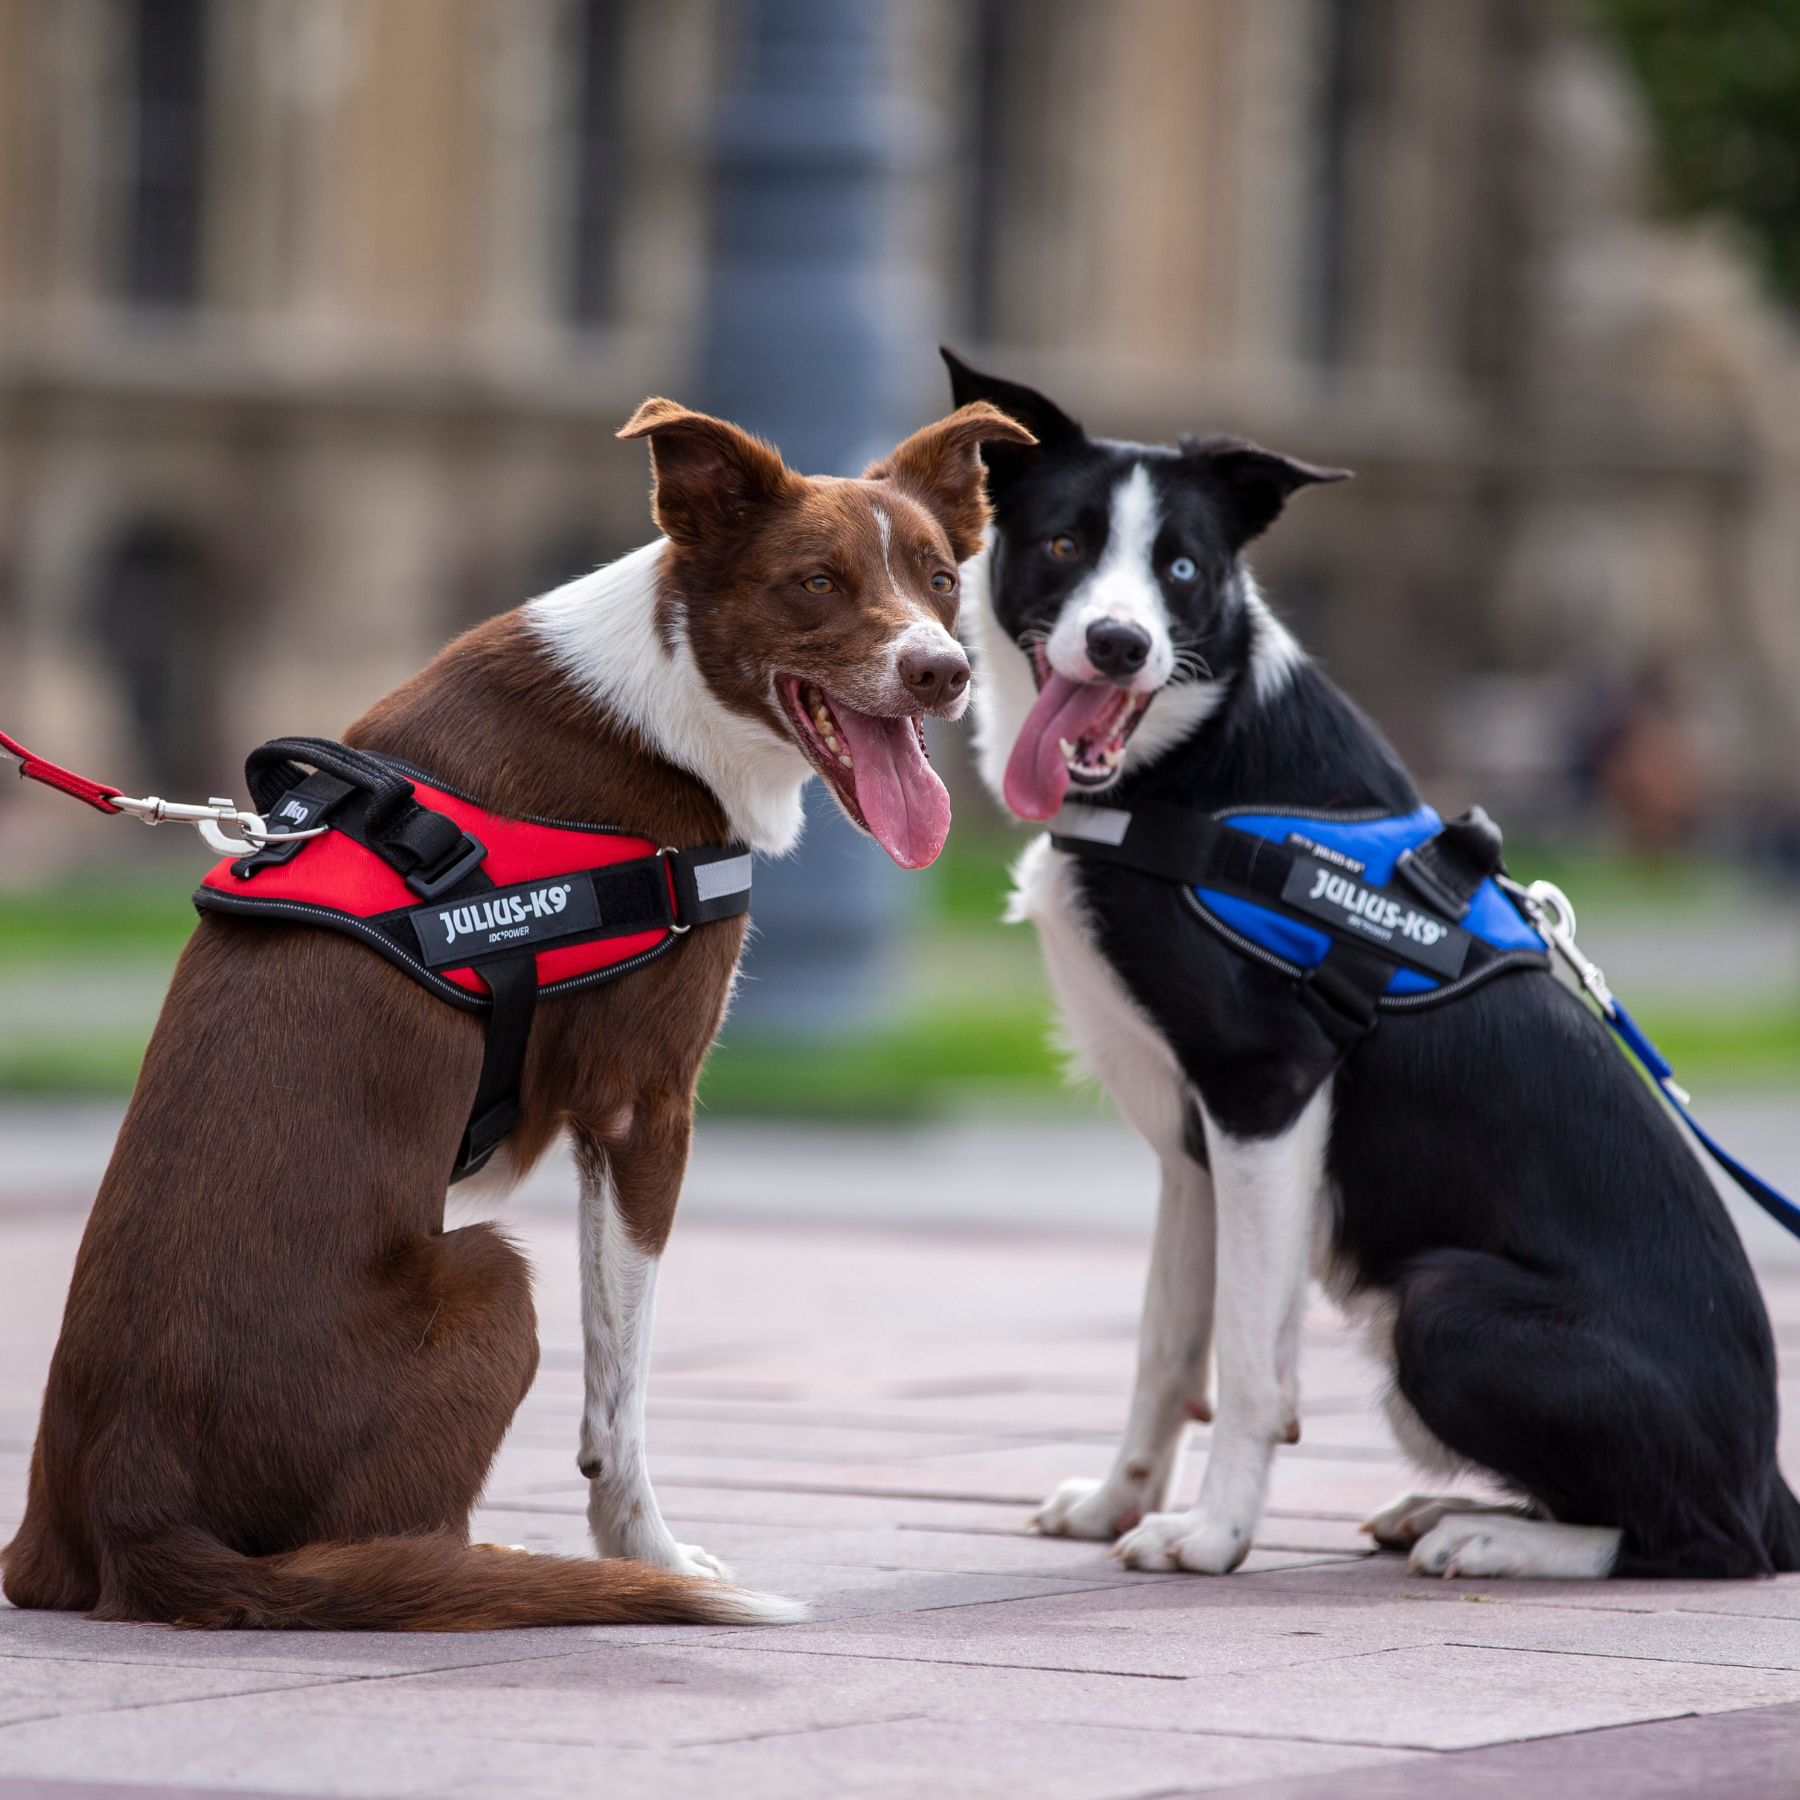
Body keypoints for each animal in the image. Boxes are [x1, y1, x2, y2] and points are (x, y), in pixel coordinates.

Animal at [3, 394, 1029, 1634]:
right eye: (816, 582)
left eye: (940, 577)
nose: (942, 673)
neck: (668, 691)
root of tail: (130, 1518)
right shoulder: (642, 1107)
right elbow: (621, 1385)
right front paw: (648, 1552)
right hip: (486, 1276)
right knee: (396, 1557)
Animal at [950, 347, 1792, 1576]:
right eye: (1063, 544)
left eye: (1183, 568)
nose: (1119, 645)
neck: (1191, 769)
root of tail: (1771, 1484)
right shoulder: (1194, 1144)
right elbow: (1166, 1346)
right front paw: (1118, 1502)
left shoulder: (1268, 1090)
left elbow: (1248, 1360)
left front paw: (1212, 1536)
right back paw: (1447, 1509)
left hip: (1442, 1303)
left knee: (1699, 1541)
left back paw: (1497, 1541)